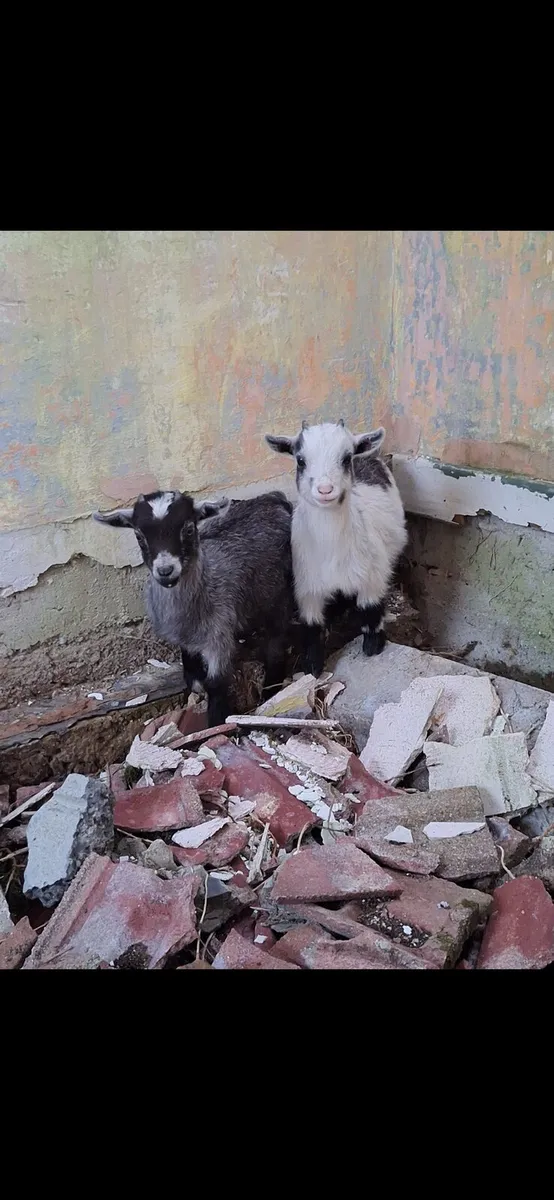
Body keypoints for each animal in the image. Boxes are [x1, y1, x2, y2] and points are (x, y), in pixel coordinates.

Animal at [93, 489, 294, 725]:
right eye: (139, 536)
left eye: (188, 529)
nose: (165, 570)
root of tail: (272, 498)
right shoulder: (186, 638)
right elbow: (192, 671)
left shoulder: (219, 634)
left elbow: (216, 683)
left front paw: (217, 723)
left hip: (280, 593)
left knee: (277, 642)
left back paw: (271, 688)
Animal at [265, 420, 407, 676]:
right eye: (300, 460)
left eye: (346, 458)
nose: (325, 489)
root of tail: (370, 456)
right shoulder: (307, 586)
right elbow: (311, 625)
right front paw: (312, 664)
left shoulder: (374, 574)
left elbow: (371, 608)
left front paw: (373, 645)